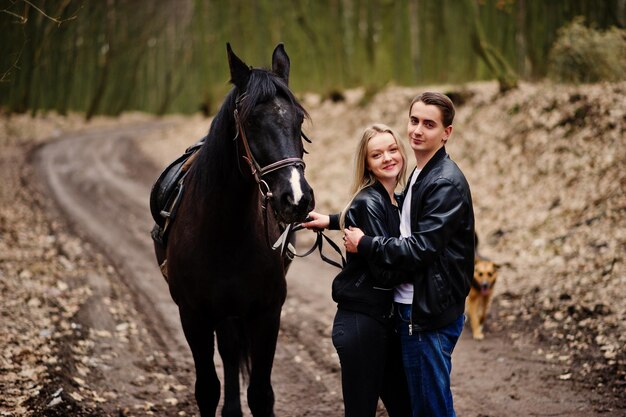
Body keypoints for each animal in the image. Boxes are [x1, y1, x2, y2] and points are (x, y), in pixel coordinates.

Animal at [154, 44, 314, 414]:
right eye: (251, 121)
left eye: (298, 120)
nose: (297, 198)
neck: (225, 232)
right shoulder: (193, 316)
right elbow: (207, 389)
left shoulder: (267, 313)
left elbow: (261, 393)